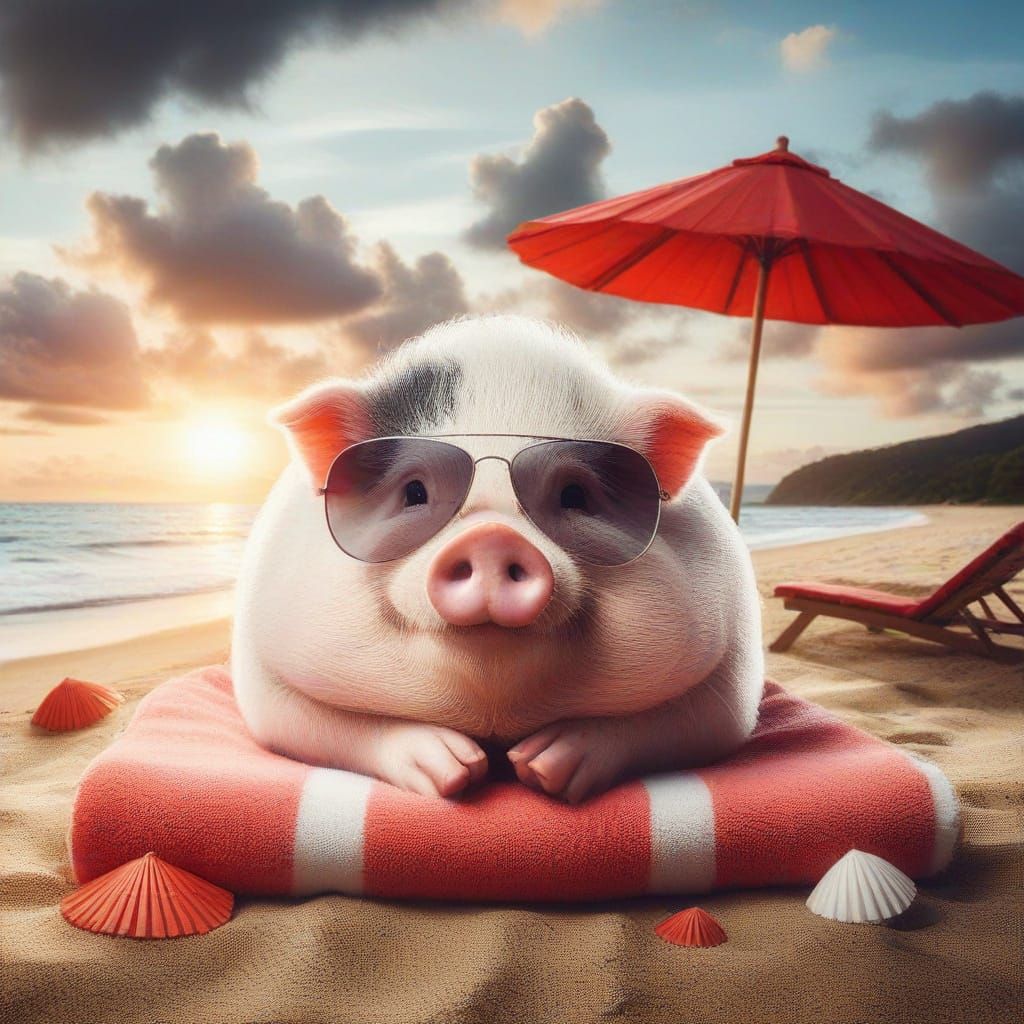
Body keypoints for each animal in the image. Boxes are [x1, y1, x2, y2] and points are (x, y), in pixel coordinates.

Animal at [231, 314, 764, 804]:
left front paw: (541, 765)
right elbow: (318, 725)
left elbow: (676, 727)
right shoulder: (263, 675)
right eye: (414, 491)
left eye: (574, 494)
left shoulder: (730, 679)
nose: (492, 536)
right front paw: (455, 769)